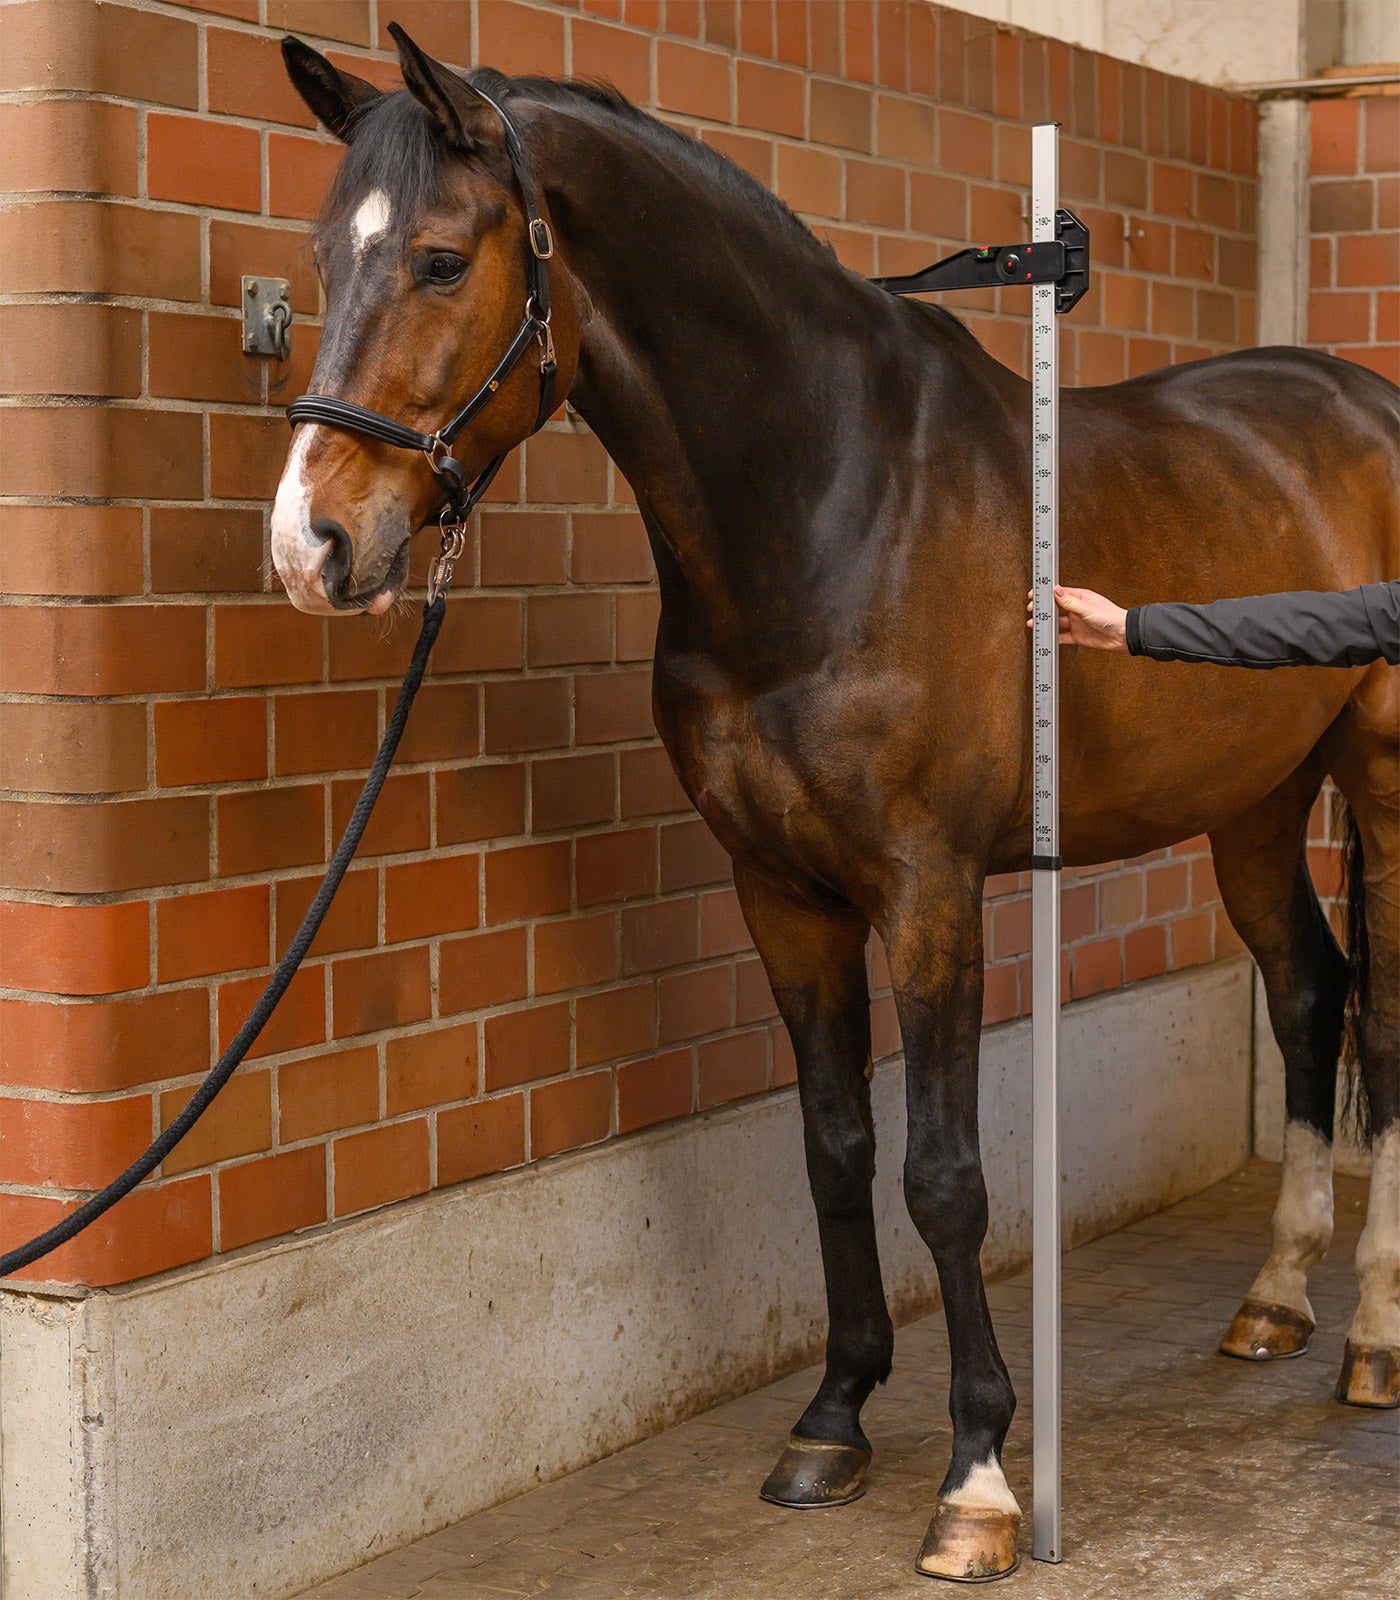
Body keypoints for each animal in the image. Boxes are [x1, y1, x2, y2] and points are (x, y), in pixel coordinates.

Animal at [272, 31, 1399, 1581]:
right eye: (326, 259)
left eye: (442, 260)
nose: (312, 546)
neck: (826, 504)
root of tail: (1362, 404)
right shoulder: (781, 891)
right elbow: (832, 1148)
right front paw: (834, 1418)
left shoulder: (928, 891)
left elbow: (942, 1174)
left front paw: (978, 1478)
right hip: (1255, 797)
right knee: (1304, 993)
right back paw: (1275, 1300)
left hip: (1382, 780)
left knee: (1383, 1020)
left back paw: (1370, 1338)